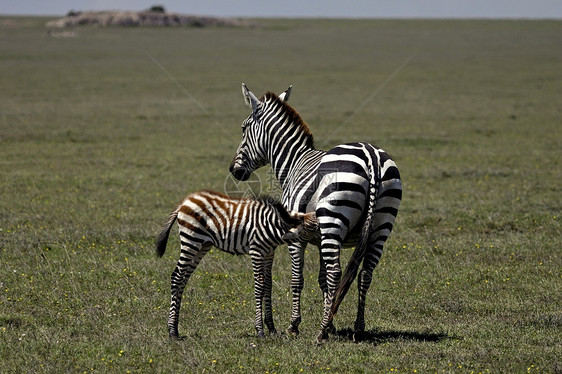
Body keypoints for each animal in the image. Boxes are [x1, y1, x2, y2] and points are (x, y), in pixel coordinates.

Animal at [155, 190, 318, 338]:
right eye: (311, 230)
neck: (273, 225)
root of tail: (184, 202)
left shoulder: (269, 253)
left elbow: (268, 285)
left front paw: (272, 329)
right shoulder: (256, 251)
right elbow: (260, 287)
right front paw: (260, 330)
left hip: (202, 245)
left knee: (183, 279)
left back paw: (175, 328)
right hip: (191, 240)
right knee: (177, 277)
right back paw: (172, 331)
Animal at [230, 84, 400, 342]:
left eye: (243, 128)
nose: (234, 170)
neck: (293, 162)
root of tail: (371, 157)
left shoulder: (295, 235)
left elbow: (297, 279)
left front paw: (295, 325)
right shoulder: (319, 239)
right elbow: (321, 280)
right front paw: (331, 324)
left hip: (333, 221)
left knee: (336, 272)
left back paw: (321, 333)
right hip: (380, 226)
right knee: (364, 273)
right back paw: (357, 327)